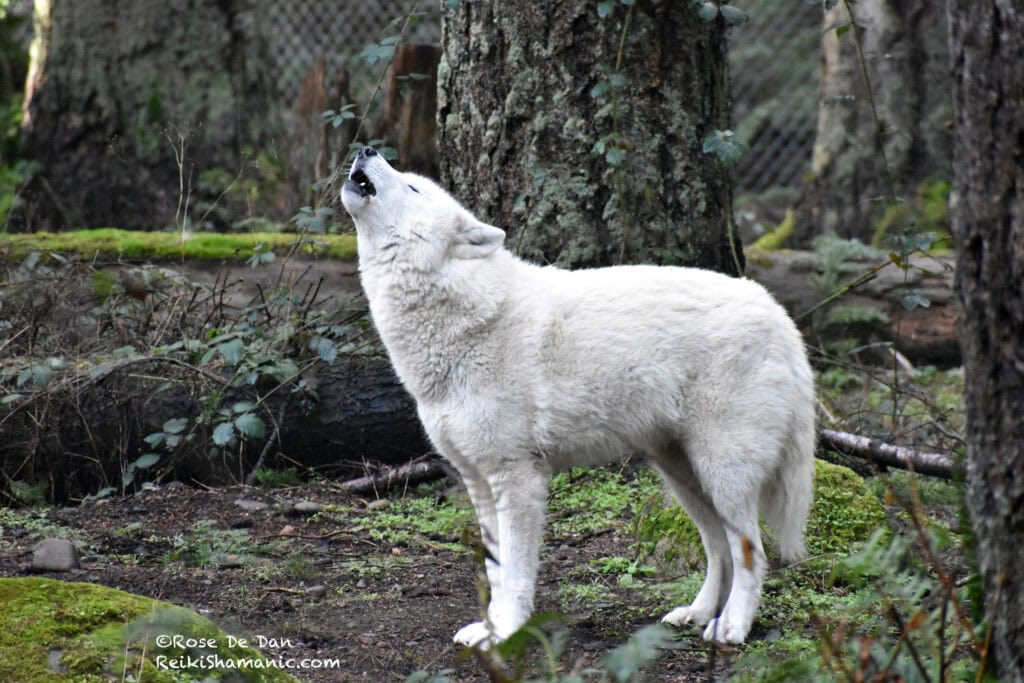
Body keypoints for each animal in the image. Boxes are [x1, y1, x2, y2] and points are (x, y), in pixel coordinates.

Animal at [342, 147, 815, 651]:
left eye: (413, 187)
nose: (366, 149)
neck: (464, 317)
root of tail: (777, 310)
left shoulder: (518, 479)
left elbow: (515, 573)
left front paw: (507, 632)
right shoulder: (479, 481)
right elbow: (495, 571)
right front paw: (488, 630)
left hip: (722, 473)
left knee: (751, 553)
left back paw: (731, 628)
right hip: (684, 477)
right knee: (718, 550)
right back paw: (696, 613)